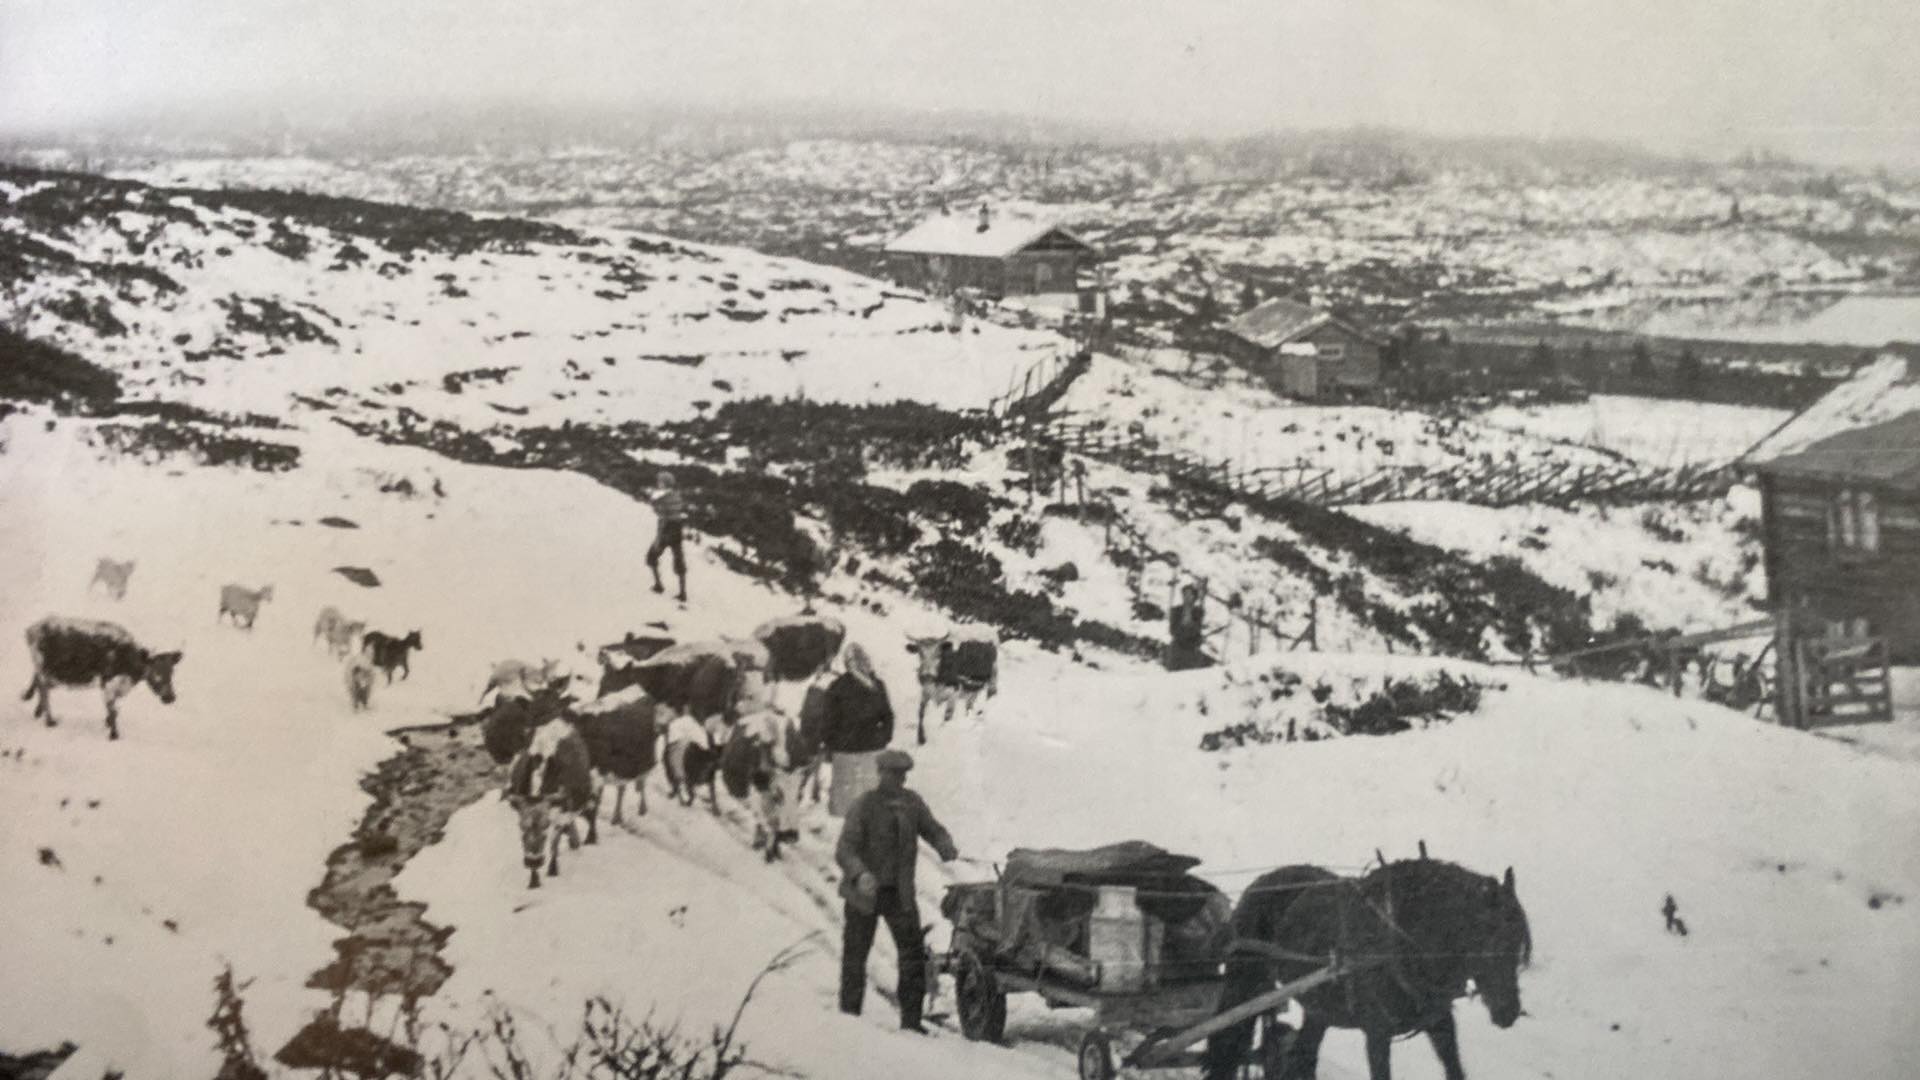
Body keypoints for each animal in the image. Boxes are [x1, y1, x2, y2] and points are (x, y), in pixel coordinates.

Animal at [22, 614, 183, 737]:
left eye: (171, 671)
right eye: (155, 672)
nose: (170, 698)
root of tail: (32, 629)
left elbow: (113, 709)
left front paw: (107, 724)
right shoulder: (107, 682)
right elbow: (113, 710)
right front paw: (114, 735)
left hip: (48, 671)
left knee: (39, 683)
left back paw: (35, 709)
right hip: (44, 667)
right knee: (44, 690)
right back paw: (49, 721)